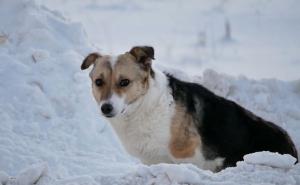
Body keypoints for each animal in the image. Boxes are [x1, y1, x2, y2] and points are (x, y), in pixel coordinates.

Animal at [80, 45, 298, 171]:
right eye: (98, 82)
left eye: (124, 82)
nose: (106, 108)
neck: (146, 106)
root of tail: (293, 149)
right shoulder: (152, 160)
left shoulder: (186, 155)